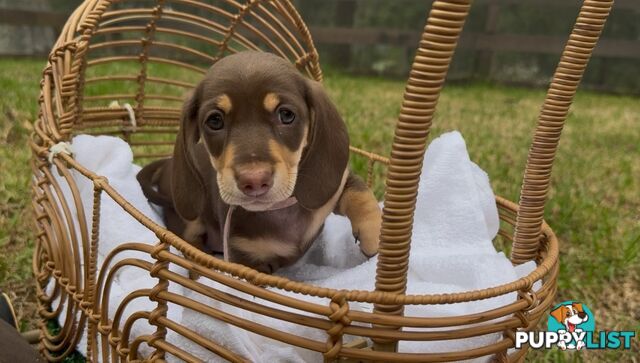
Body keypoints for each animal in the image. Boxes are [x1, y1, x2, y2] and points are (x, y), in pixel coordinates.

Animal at [137, 50, 380, 272]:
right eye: (215, 120)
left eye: (286, 115)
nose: (253, 181)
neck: (278, 209)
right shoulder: (247, 259)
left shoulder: (333, 187)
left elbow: (360, 192)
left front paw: (374, 234)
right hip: (189, 219)